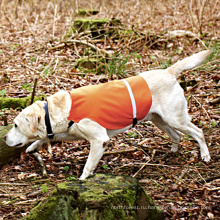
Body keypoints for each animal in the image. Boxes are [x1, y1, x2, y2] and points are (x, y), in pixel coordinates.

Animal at [3, 50, 211, 180]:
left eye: (15, 125)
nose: (4, 137)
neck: (59, 110)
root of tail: (168, 71)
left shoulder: (99, 140)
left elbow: (88, 164)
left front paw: (82, 179)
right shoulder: (68, 133)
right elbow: (48, 137)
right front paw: (34, 146)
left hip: (175, 118)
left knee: (198, 132)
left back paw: (205, 155)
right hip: (159, 119)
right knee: (177, 136)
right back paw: (173, 152)